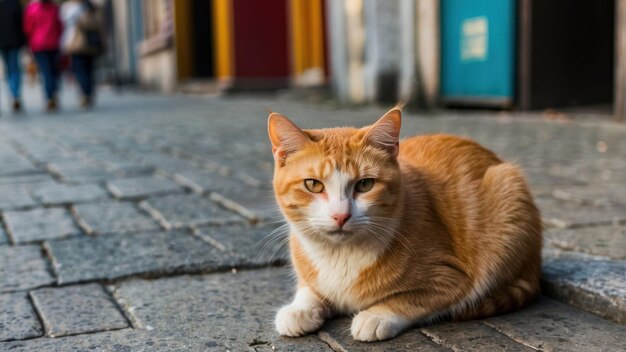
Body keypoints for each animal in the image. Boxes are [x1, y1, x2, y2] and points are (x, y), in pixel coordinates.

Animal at [268, 107, 540, 340]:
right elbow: (308, 289)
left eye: (365, 184)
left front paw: (376, 316)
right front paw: (299, 310)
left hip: (507, 193)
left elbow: (410, 300)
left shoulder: (451, 278)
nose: (340, 216)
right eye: (313, 184)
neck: (340, 255)